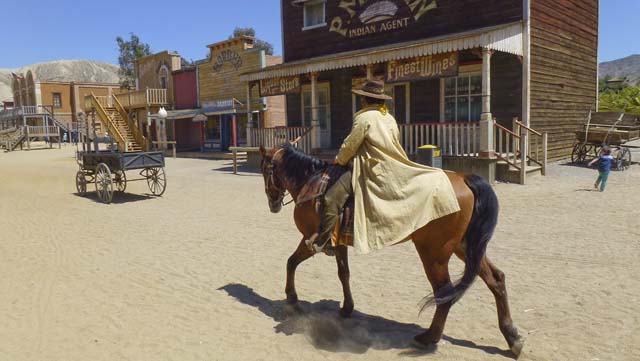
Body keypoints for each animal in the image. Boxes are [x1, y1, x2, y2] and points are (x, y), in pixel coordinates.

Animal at [260, 142, 524, 356]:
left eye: (265, 171)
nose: (272, 204)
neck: (311, 182)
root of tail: (465, 177)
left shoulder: (310, 239)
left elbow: (291, 262)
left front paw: (292, 300)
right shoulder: (338, 242)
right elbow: (343, 273)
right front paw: (346, 308)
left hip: (434, 254)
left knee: (444, 293)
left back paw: (429, 337)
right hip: (467, 248)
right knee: (496, 280)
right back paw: (512, 337)